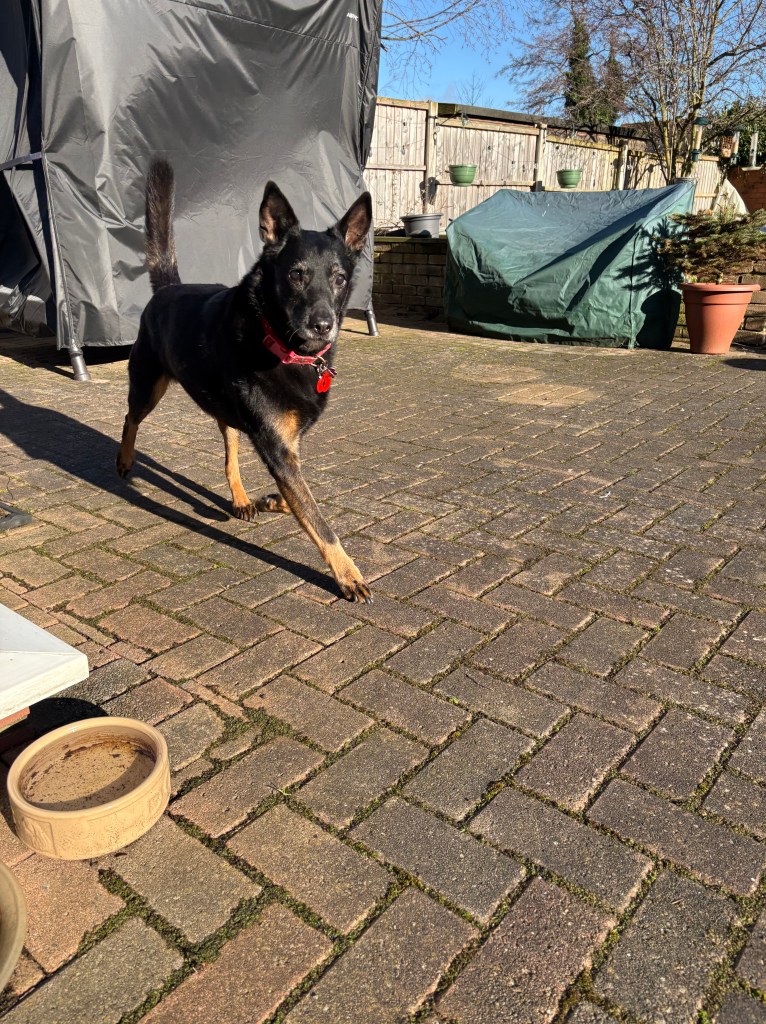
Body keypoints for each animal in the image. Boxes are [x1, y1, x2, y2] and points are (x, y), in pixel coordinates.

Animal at [116, 159, 373, 603]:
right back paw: (125, 458)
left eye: (339, 278)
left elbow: (300, 501)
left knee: (229, 455)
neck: (280, 344)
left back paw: (241, 498)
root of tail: (168, 288)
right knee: (131, 418)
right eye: (296, 275)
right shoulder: (279, 449)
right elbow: (319, 521)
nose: (323, 325)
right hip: (149, 385)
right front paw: (347, 573)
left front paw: (273, 501)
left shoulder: (286, 447)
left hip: (223, 411)